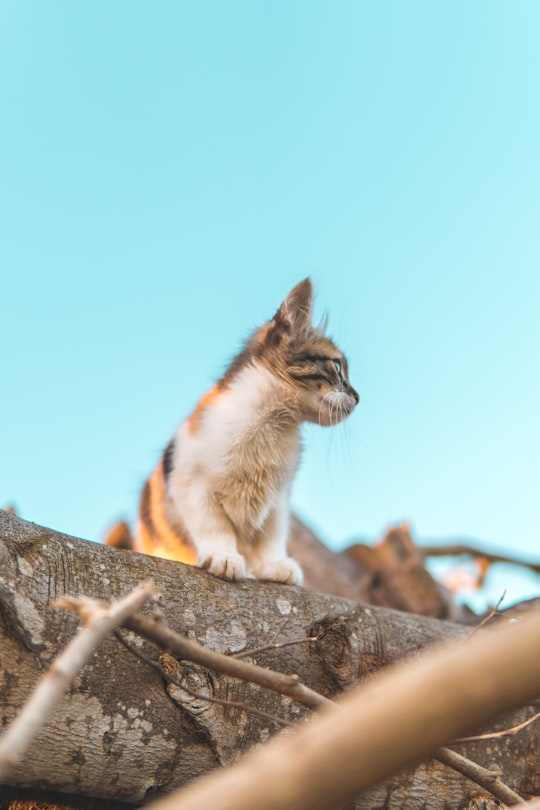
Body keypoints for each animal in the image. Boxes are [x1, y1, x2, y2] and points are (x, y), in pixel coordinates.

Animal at [105, 278, 358, 580]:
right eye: (337, 367)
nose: (358, 397)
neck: (273, 423)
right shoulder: (190, 483)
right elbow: (214, 525)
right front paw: (223, 556)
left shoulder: (279, 499)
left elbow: (271, 535)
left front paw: (273, 565)